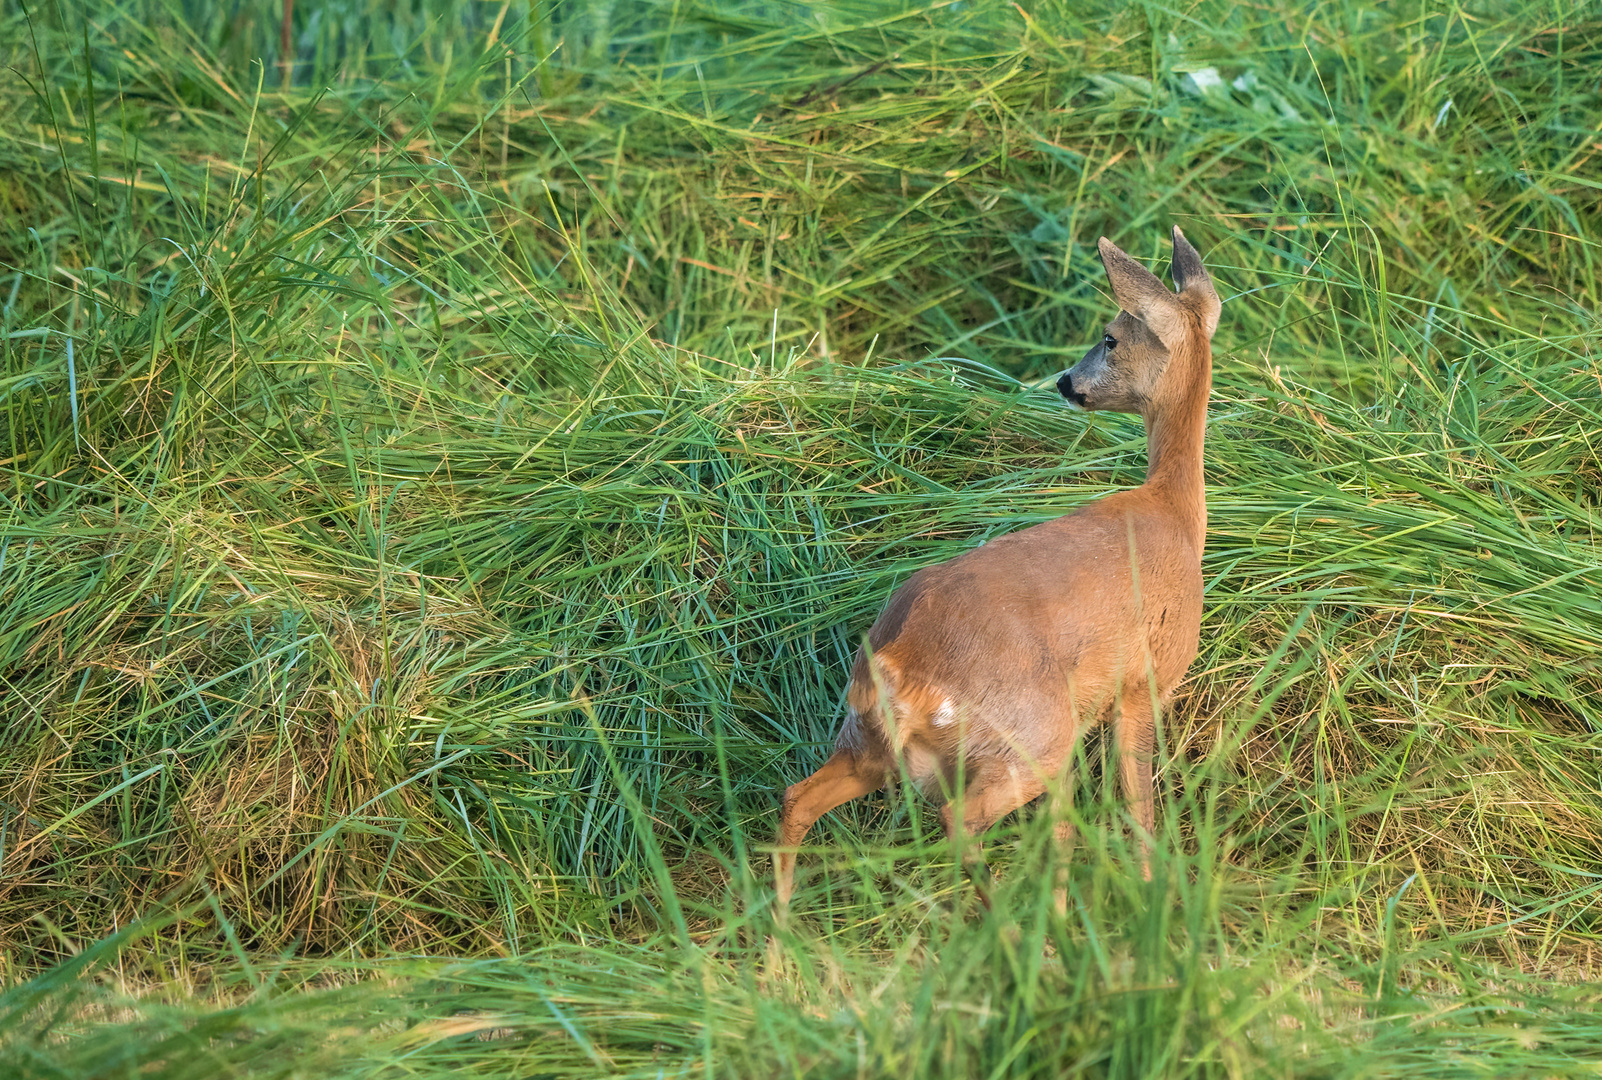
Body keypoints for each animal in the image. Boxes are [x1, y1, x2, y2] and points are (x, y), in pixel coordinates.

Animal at [772, 227, 1211, 916]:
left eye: (1111, 337)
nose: (1065, 381)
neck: (1175, 513)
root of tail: (898, 662)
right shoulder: (1144, 682)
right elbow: (1138, 810)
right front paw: (1149, 898)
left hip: (874, 742)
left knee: (798, 797)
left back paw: (778, 933)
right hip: (1031, 738)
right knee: (962, 822)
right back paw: (1013, 927)